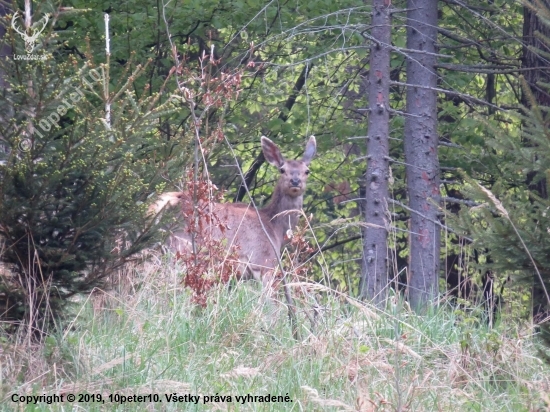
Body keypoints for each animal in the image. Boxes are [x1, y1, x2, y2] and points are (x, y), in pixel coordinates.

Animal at [149, 135, 316, 290]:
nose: (295, 181)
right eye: (282, 170)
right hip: (180, 245)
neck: (275, 228)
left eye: (307, 171)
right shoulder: (263, 261)